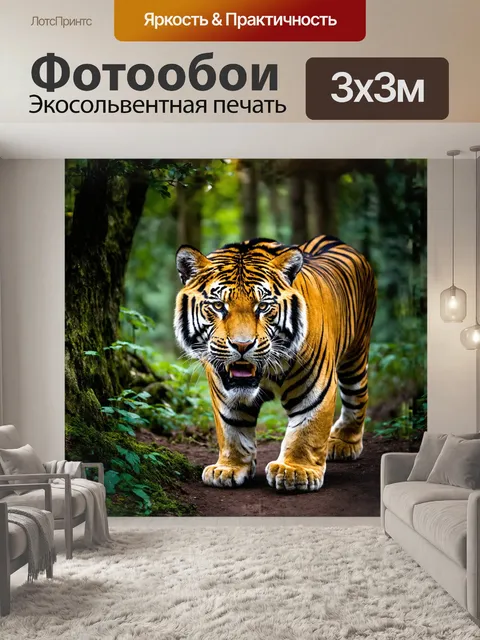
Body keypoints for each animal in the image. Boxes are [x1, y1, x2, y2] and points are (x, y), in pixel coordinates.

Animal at [174, 235, 377, 492]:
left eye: (262, 306)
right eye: (218, 306)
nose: (242, 345)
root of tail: (331, 238)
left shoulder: (314, 387)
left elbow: (307, 429)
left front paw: (296, 471)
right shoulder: (224, 392)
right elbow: (231, 429)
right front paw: (229, 468)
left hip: (355, 355)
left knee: (357, 397)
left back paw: (343, 443)